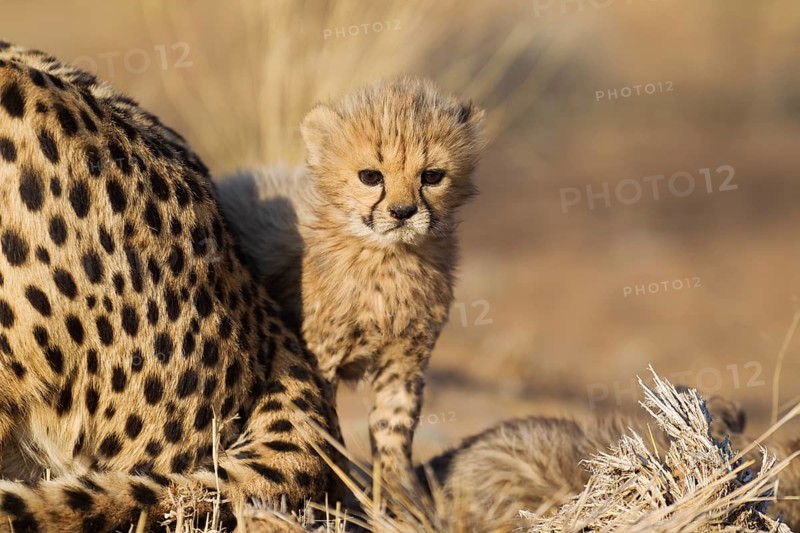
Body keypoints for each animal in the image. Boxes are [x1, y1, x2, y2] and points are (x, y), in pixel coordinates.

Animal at [215, 78, 486, 493]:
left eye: (432, 176)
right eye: (371, 176)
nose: (403, 212)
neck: (388, 260)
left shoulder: (405, 360)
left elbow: (393, 429)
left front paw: (400, 497)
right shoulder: (321, 358)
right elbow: (328, 432)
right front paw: (340, 492)